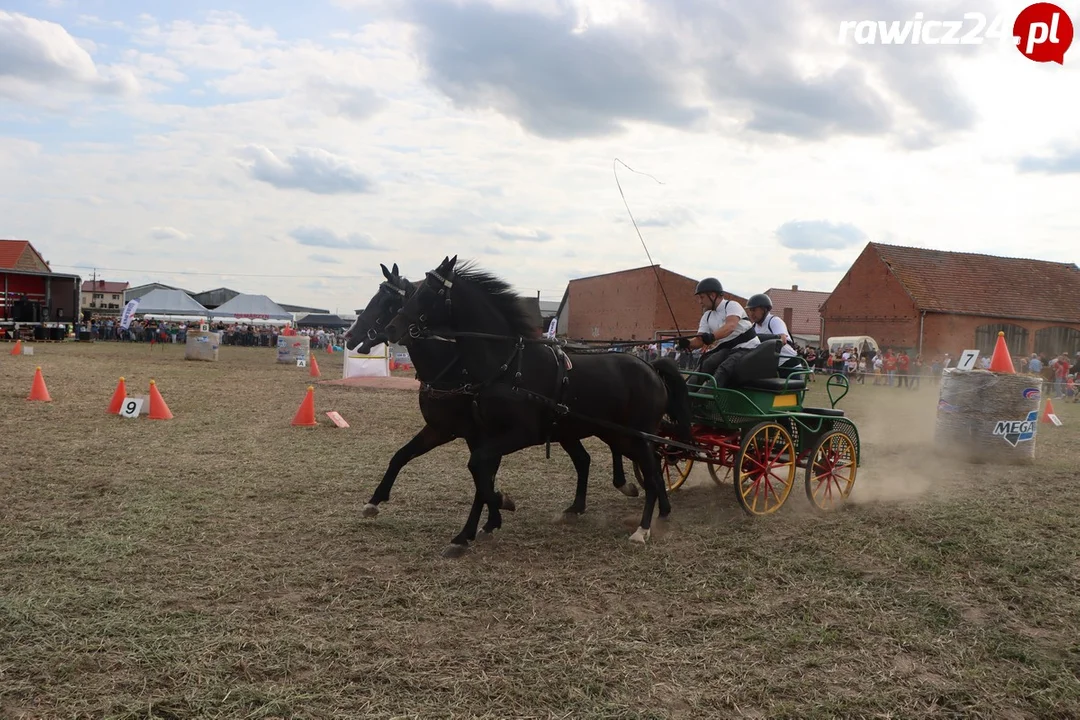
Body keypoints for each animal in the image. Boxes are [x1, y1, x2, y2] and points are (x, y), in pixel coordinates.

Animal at [341, 262, 635, 520]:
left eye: (387, 301)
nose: (349, 336)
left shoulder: (475, 433)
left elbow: (483, 475)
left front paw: (495, 509)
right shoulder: (441, 428)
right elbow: (401, 456)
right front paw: (373, 502)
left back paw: (625, 485)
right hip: (568, 429)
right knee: (585, 459)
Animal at [384, 259, 695, 557]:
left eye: (429, 290)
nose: (392, 327)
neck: (507, 366)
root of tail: (650, 367)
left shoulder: (521, 434)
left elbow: (478, 469)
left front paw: (500, 505)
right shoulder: (487, 435)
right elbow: (481, 474)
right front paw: (473, 530)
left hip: (637, 435)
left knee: (652, 474)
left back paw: (643, 529)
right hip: (617, 435)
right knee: (646, 467)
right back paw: (658, 512)